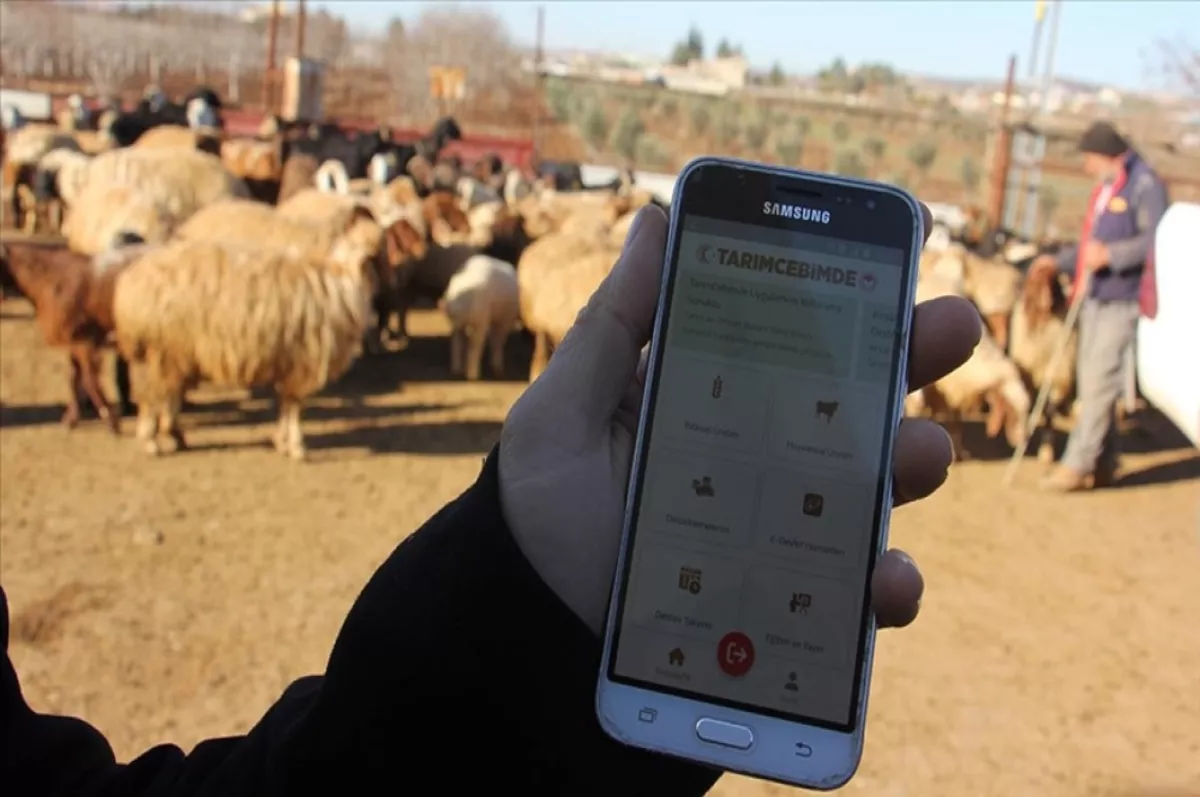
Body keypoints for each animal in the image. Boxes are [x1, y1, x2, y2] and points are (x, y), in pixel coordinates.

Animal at [0, 237, 142, 429]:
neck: (50, 279)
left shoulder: (85, 342)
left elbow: (89, 379)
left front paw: (110, 420)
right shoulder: (74, 342)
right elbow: (74, 378)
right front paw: (71, 418)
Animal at [112, 205, 381, 460]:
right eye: (363, 245)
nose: (368, 266)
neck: (336, 278)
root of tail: (130, 282)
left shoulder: (290, 363)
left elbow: (286, 405)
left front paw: (281, 441)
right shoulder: (303, 361)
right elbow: (295, 406)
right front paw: (295, 446)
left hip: (170, 354)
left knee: (164, 396)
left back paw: (172, 434)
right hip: (160, 351)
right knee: (151, 399)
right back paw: (151, 441)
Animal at [1012, 264, 1080, 463]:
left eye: (1053, 281)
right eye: (1036, 282)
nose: (1046, 299)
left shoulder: (1057, 375)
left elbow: (1049, 414)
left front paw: (1046, 452)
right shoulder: (1026, 373)